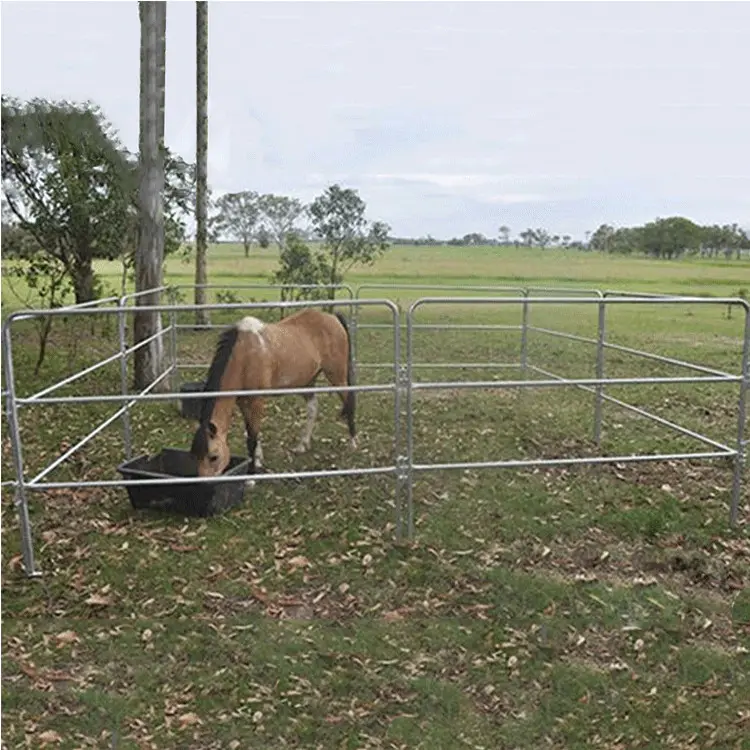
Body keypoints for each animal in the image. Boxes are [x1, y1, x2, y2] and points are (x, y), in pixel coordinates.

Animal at [189, 310, 356, 476]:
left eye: (214, 457)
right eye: (194, 455)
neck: (244, 354)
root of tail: (332, 317)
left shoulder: (256, 401)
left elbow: (252, 438)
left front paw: (251, 475)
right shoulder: (243, 402)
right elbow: (251, 432)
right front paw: (258, 460)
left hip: (337, 377)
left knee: (349, 403)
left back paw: (353, 442)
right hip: (308, 382)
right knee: (313, 409)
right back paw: (302, 445)